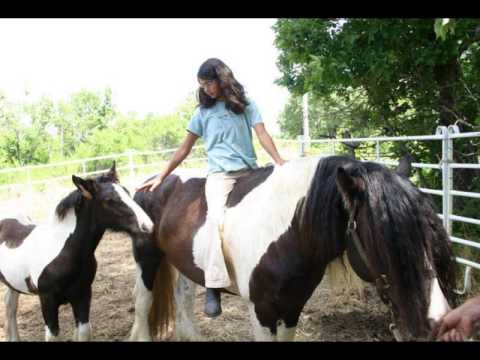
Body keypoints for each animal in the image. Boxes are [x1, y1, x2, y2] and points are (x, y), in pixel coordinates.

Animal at [0, 163, 153, 340]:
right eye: (109, 200)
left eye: (127, 192)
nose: (148, 226)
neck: (64, 250)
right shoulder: (47, 300)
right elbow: (53, 335)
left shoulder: (83, 295)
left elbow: (84, 331)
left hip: (13, 283)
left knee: (10, 305)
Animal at [128, 155, 458, 340]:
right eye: (384, 241)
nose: (437, 320)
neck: (284, 232)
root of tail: (153, 182)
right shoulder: (261, 311)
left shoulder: (292, 307)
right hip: (147, 259)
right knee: (143, 304)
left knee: (183, 297)